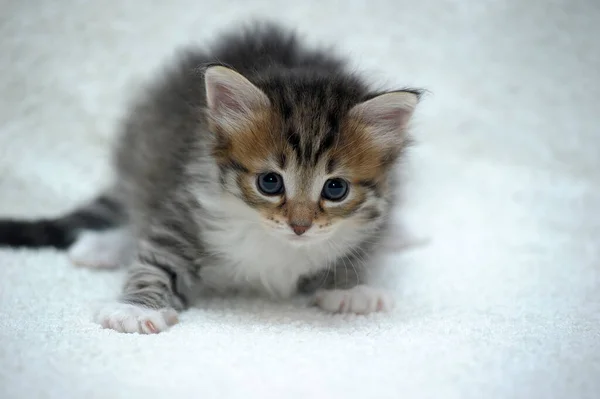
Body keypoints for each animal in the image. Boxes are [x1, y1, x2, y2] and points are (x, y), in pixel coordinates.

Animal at [0, 21, 422, 334]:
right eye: (270, 183)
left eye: (335, 189)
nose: (300, 226)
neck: (275, 242)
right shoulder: (187, 208)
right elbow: (158, 258)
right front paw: (135, 309)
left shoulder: (378, 208)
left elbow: (361, 249)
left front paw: (351, 288)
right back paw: (101, 247)